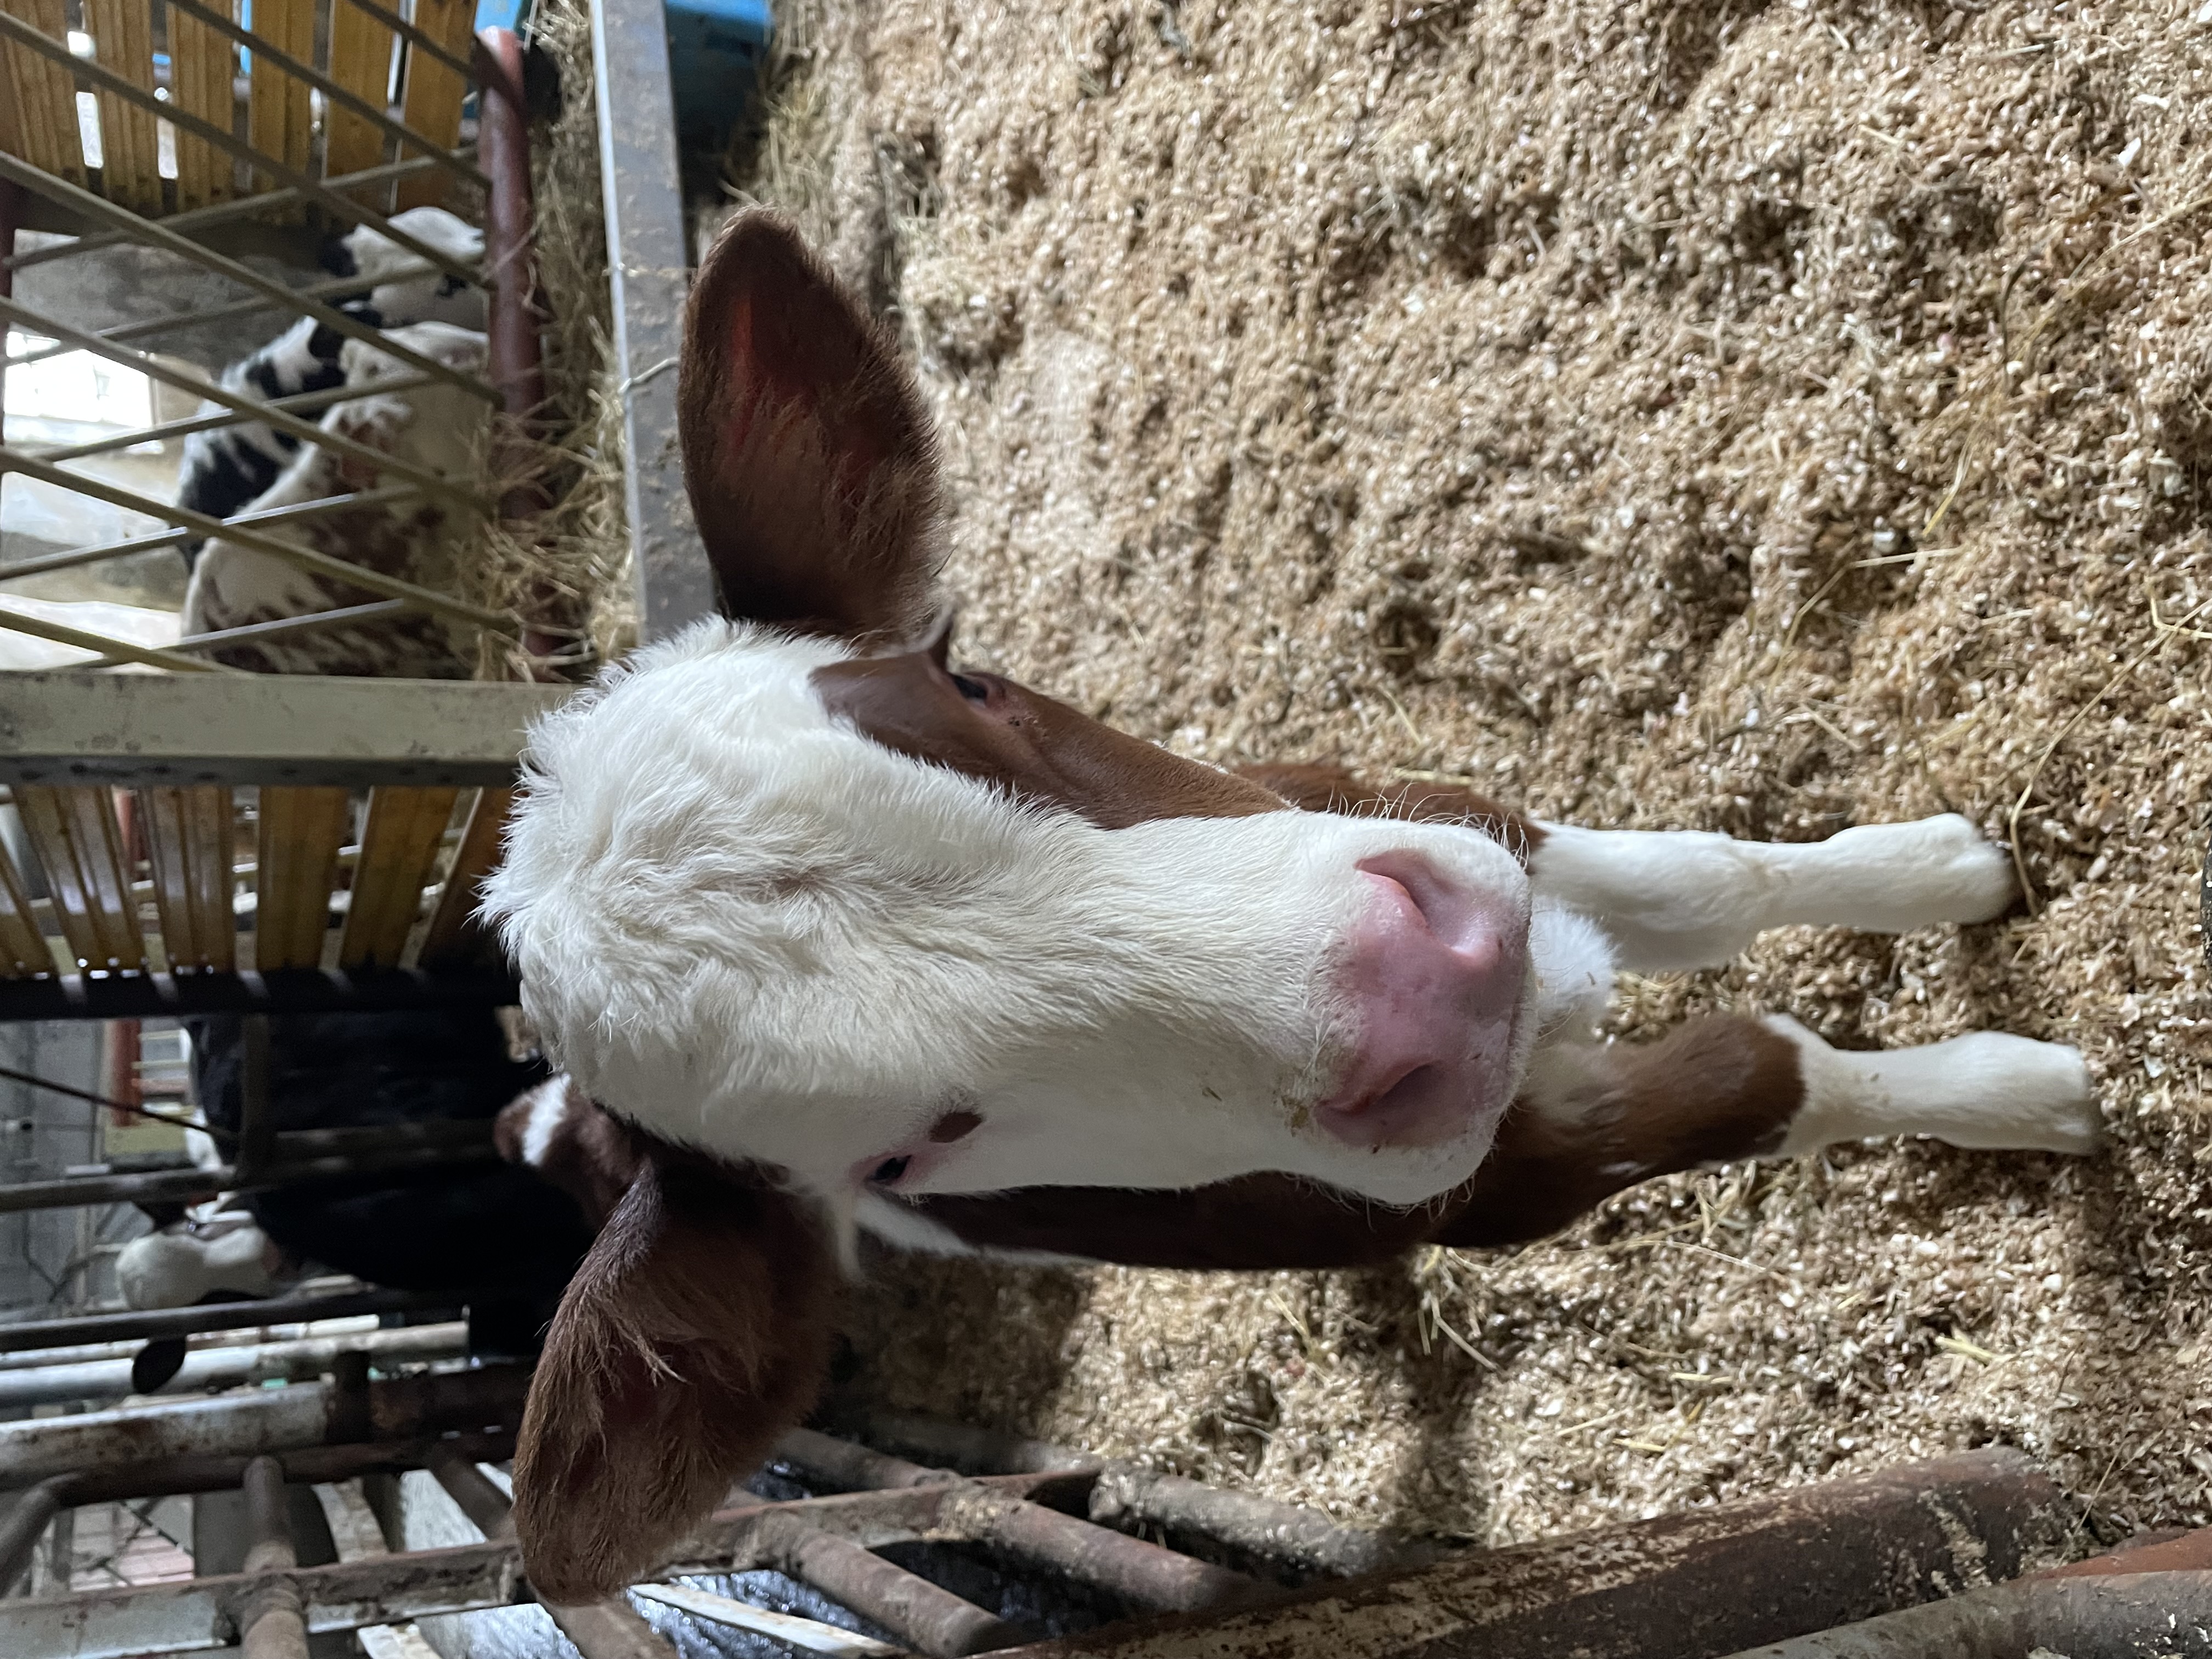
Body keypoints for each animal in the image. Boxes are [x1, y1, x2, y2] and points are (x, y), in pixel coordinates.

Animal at [478, 211, 2101, 1602]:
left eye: (971, 684)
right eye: (903, 1154)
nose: (1424, 987)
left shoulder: (1400, 799)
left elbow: (1698, 882)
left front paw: (1950, 864)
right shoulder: (1503, 1184)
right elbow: (1751, 1074)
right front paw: (2032, 1092)